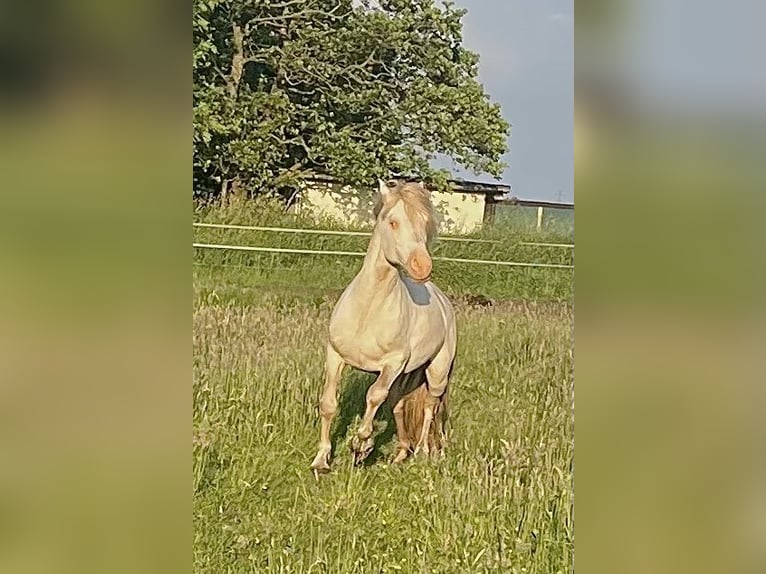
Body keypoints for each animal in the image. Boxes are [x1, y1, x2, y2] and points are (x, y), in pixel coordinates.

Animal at [310, 178, 460, 474]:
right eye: (392, 222)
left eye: (426, 222)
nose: (422, 266)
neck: (368, 311)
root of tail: (442, 301)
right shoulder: (335, 356)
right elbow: (329, 403)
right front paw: (321, 460)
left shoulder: (391, 365)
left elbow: (374, 396)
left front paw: (361, 446)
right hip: (406, 376)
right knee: (399, 405)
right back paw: (401, 454)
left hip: (436, 372)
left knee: (429, 406)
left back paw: (422, 452)